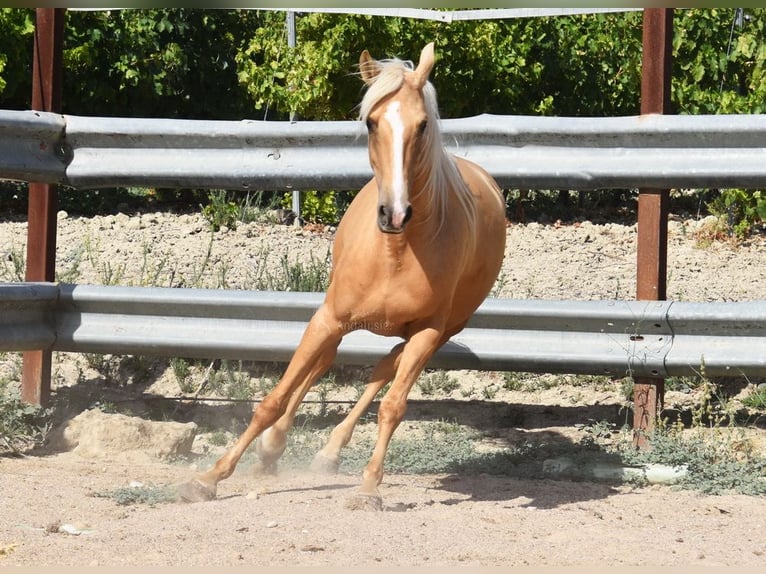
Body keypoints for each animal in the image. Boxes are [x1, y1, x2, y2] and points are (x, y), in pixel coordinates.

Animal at [177, 46, 508, 512]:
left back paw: (329, 451)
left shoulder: (428, 332)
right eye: (371, 122)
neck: (396, 253)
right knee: (323, 365)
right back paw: (273, 448)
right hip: (336, 321)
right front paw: (209, 478)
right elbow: (273, 398)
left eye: (423, 124)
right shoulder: (328, 318)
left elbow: (393, 406)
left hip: (440, 331)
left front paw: (369, 488)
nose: (395, 214)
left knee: (384, 369)